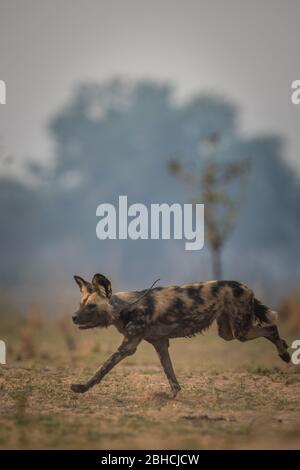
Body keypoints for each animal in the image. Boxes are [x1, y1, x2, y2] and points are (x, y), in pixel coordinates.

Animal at [71, 274, 290, 398]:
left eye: (91, 306)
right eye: (81, 304)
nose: (73, 317)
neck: (126, 306)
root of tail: (245, 286)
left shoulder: (128, 347)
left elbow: (102, 368)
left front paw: (82, 387)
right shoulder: (160, 344)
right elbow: (170, 373)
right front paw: (173, 394)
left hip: (240, 331)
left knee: (271, 327)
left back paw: (285, 354)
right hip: (228, 333)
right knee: (269, 329)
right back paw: (285, 351)